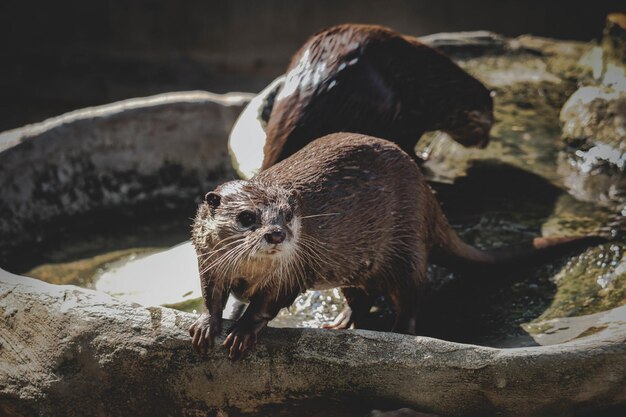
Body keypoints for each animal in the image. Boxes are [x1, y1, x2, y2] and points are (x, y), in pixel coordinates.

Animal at [189, 132, 600, 358]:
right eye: (247, 217)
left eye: (289, 215)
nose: (276, 234)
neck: (248, 273)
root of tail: (426, 189)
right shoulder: (208, 263)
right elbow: (212, 296)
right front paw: (206, 325)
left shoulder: (292, 273)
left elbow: (267, 303)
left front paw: (242, 331)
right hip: (356, 268)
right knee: (362, 296)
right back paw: (342, 324)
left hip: (407, 248)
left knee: (412, 297)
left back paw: (398, 332)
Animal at [258, 23, 492, 171]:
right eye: (488, 125)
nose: (486, 142)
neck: (435, 88)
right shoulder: (414, 120)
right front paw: (425, 158)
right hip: (383, 104)